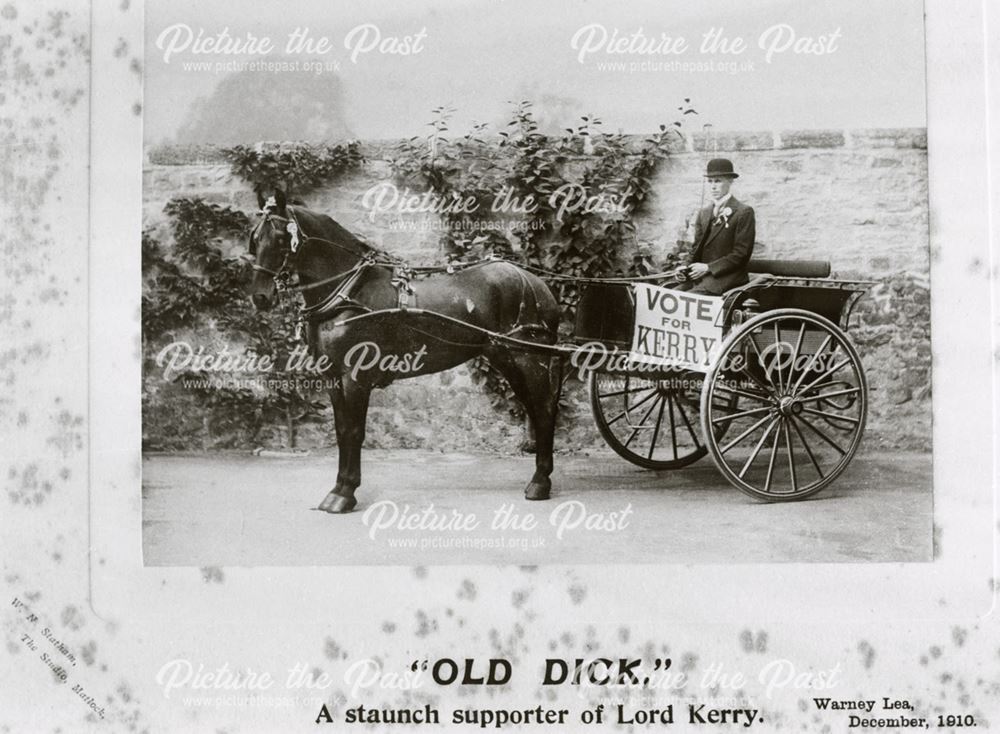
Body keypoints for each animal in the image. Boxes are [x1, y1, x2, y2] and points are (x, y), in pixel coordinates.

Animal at [245, 187, 564, 516]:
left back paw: (540, 482)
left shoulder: (355, 377)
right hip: (506, 358)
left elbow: (354, 431)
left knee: (544, 410)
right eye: (254, 238)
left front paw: (346, 492)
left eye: (281, 238)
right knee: (536, 409)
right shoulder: (332, 377)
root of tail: (536, 283)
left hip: (529, 358)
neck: (348, 293)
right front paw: (337, 489)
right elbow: (341, 430)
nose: (260, 296)